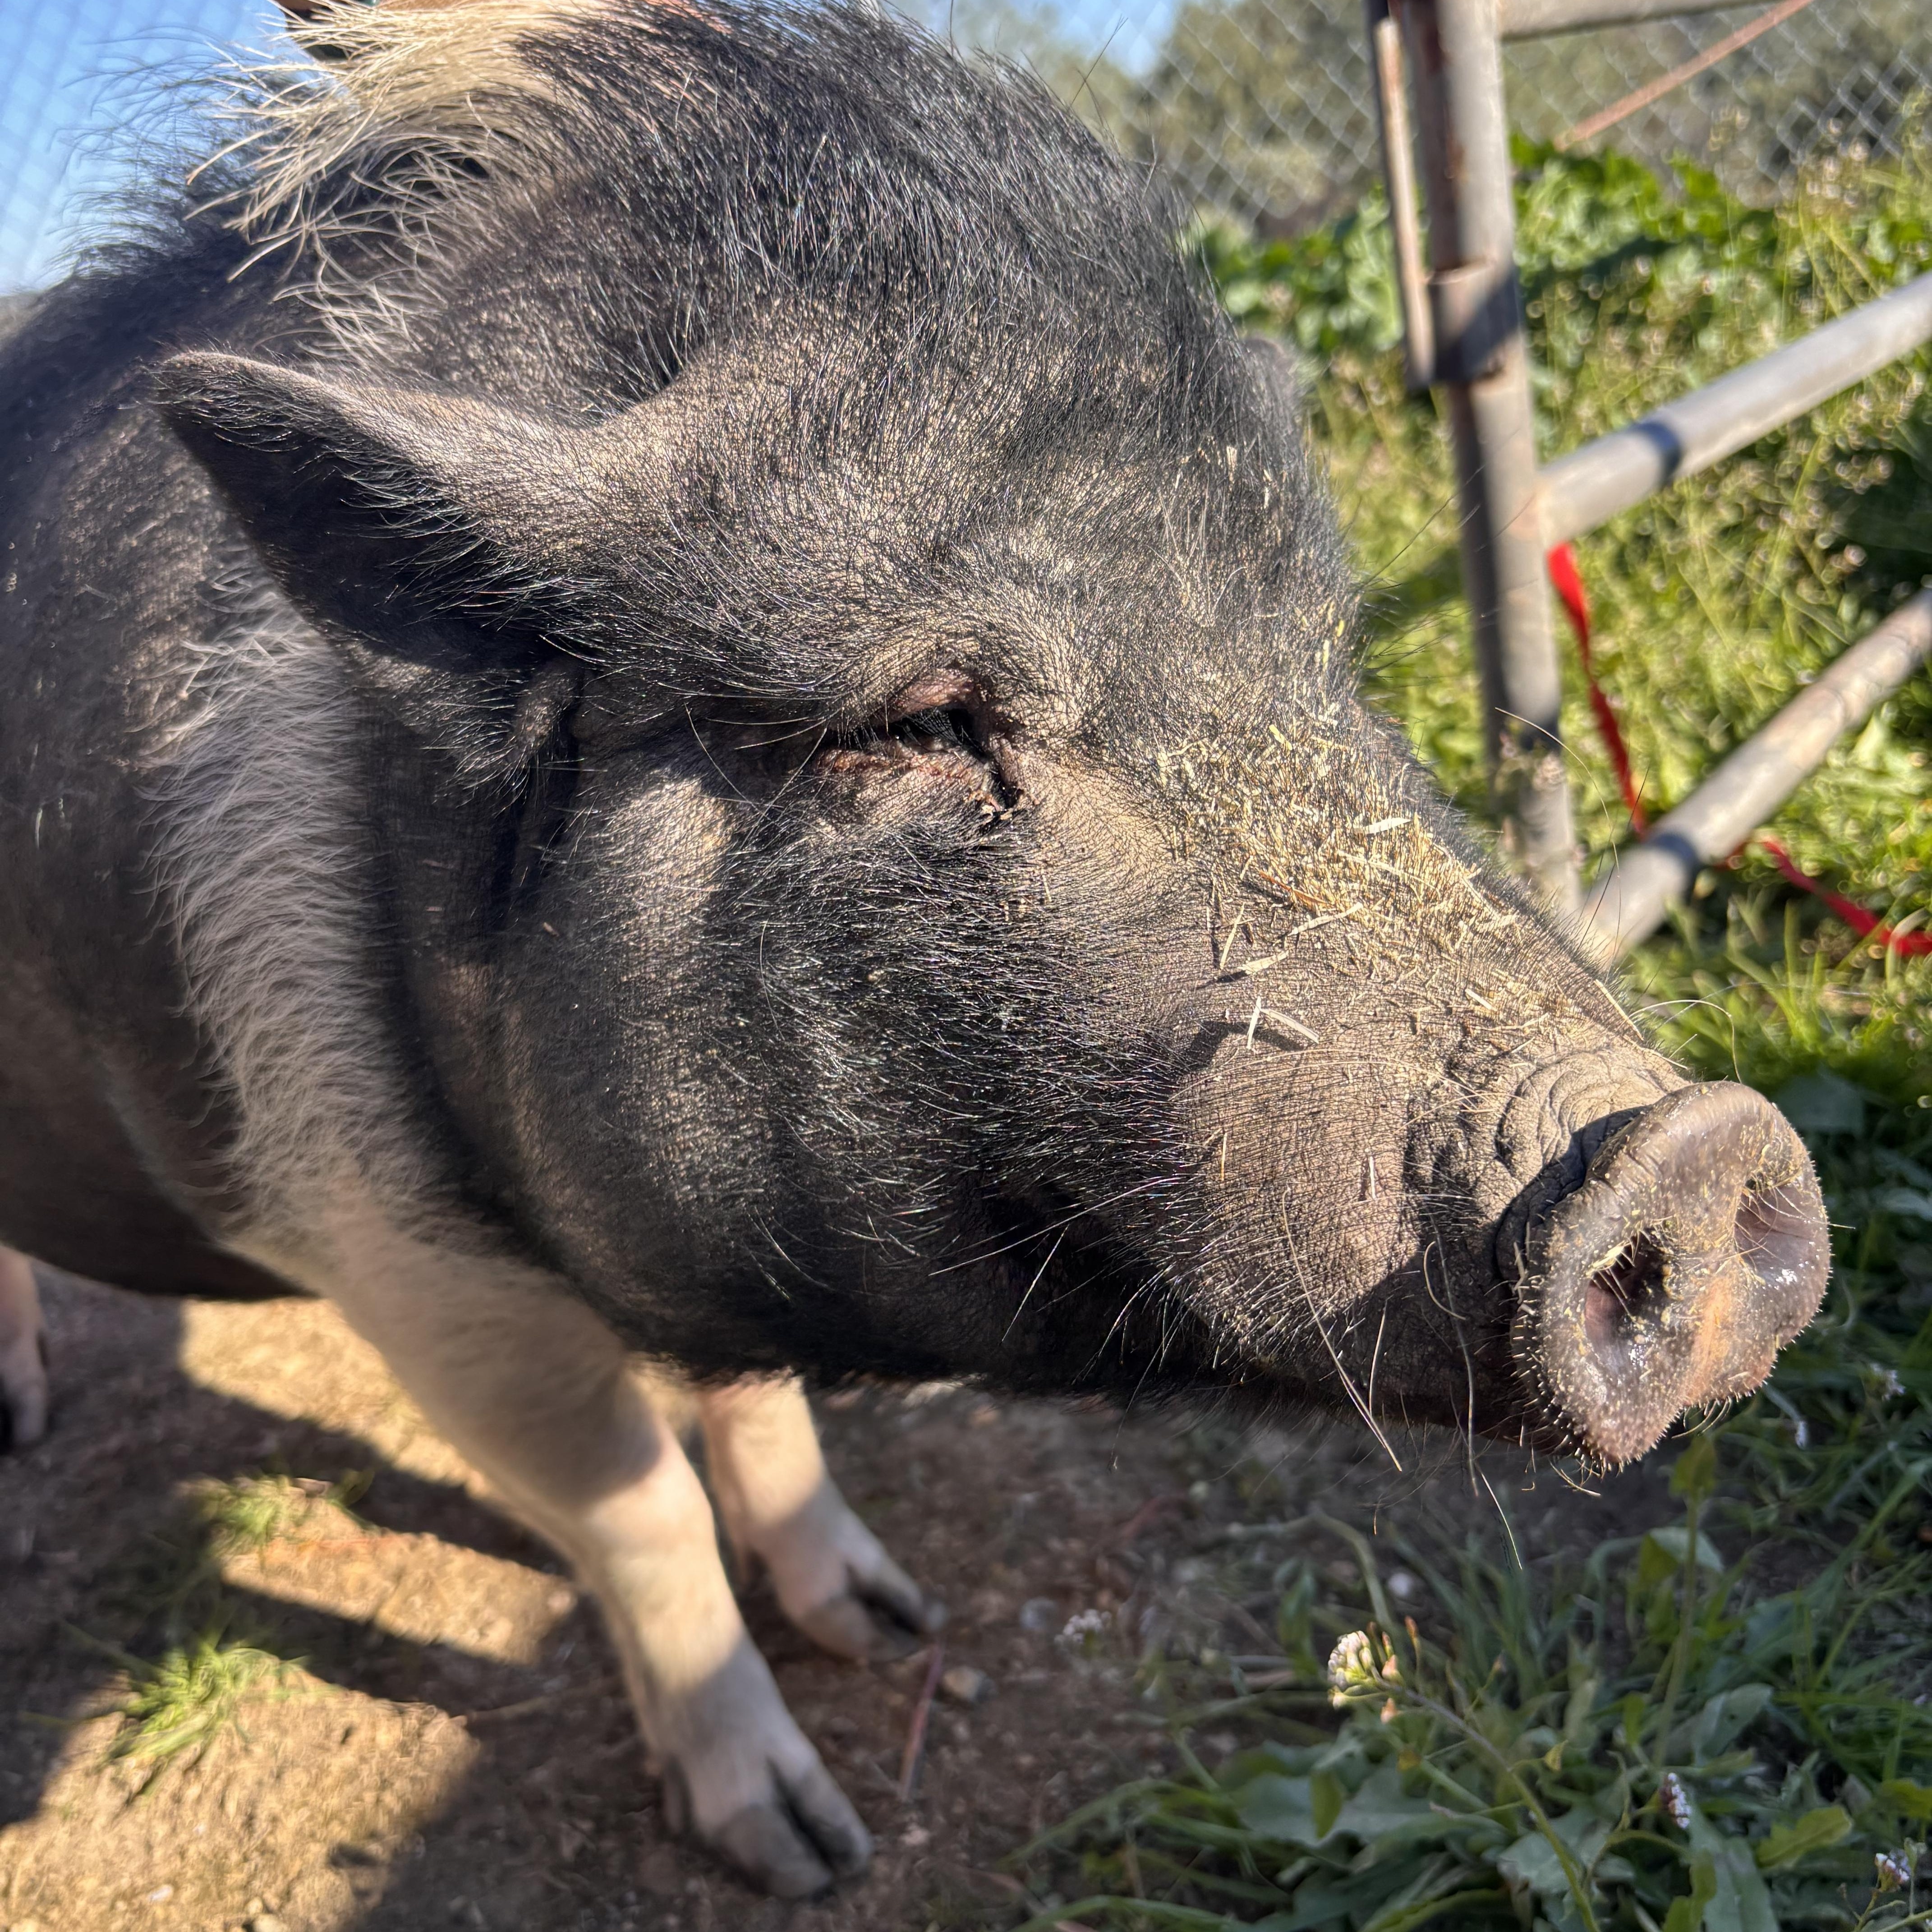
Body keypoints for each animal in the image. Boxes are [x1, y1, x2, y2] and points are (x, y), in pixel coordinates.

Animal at [0, 0, 1829, 1896]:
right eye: (924, 717)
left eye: (1319, 658)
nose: (1699, 1149)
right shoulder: (401, 1264)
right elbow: (635, 1505)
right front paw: (802, 1850)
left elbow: (755, 1416)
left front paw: (887, 1619)